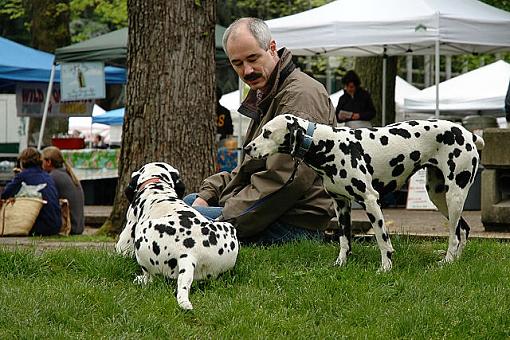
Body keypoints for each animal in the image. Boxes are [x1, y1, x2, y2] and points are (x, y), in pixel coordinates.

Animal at [116, 163, 240, 310]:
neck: (157, 186)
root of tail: (188, 255)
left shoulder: (130, 225)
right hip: (227, 228)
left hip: (142, 238)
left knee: (150, 278)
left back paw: (140, 279)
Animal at [245, 114, 484, 270]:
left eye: (267, 132)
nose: (247, 148)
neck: (326, 144)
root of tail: (469, 134)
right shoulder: (341, 205)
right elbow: (344, 241)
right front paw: (340, 263)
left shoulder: (370, 201)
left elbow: (382, 240)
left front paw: (386, 267)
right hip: (438, 196)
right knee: (463, 229)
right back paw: (454, 262)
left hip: (454, 195)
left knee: (454, 236)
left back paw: (447, 261)